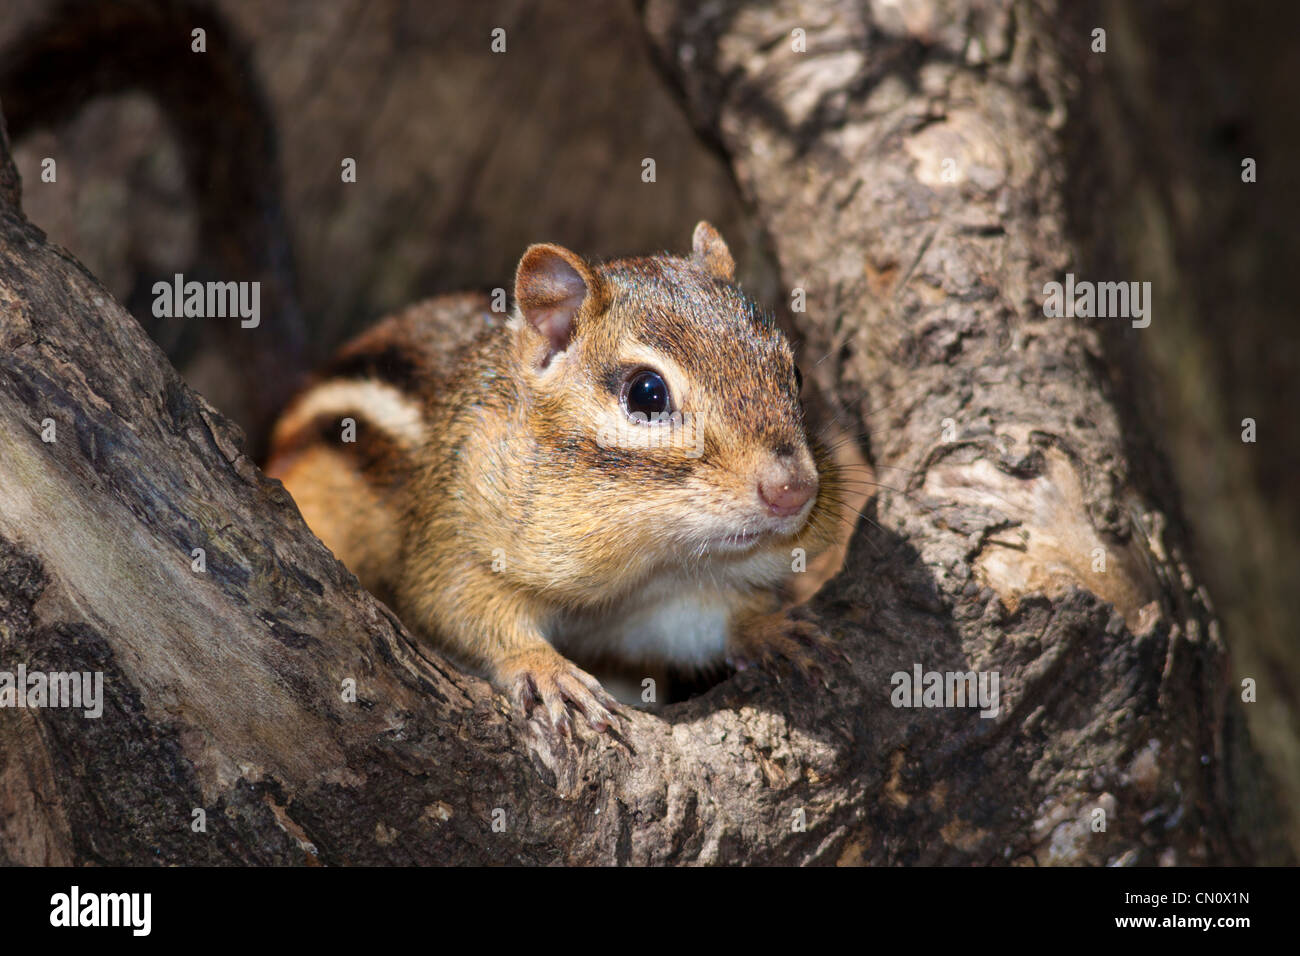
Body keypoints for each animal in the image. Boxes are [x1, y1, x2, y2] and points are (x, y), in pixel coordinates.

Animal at [265, 222, 841, 734]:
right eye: (647, 394)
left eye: (795, 374)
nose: (793, 491)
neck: (652, 560)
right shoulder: (456, 542)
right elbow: (458, 606)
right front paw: (546, 668)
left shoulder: (669, 603)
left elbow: (707, 626)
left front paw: (768, 627)